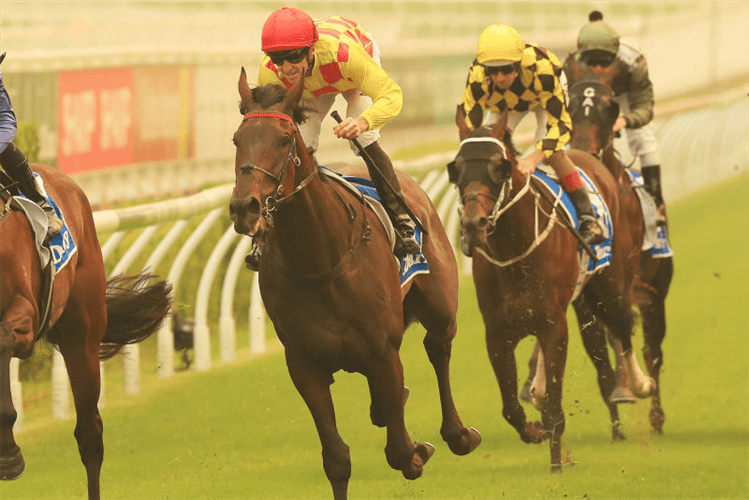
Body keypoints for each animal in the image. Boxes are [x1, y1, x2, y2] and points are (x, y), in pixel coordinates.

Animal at [228, 67, 480, 500]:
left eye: (283, 140)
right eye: (236, 140)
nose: (244, 207)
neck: (319, 261)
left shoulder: (383, 352)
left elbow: (400, 452)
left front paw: (419, 450)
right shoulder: (304, 365)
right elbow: (337, 459)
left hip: (440, 306)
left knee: (437, 348)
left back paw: (459, 434)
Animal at [448, 115, 652, 470]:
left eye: (499, 167)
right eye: (456, 168)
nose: (474, 224)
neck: (516, 253)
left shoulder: (554, 325)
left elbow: (556, 409)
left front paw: (557, 466)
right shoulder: (498, 333)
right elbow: (511, 409)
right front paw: (534, 430)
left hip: (610, 286)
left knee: (623, 325)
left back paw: (639, 384)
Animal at [568, 75, 676, 434]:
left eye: (608, 109)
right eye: (570, 107)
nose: (583, 152)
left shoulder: (634, 289)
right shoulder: (583, 302)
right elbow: (601, 359)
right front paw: (616, 428)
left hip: (654, 294)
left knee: (652, 351)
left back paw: (655, 415)